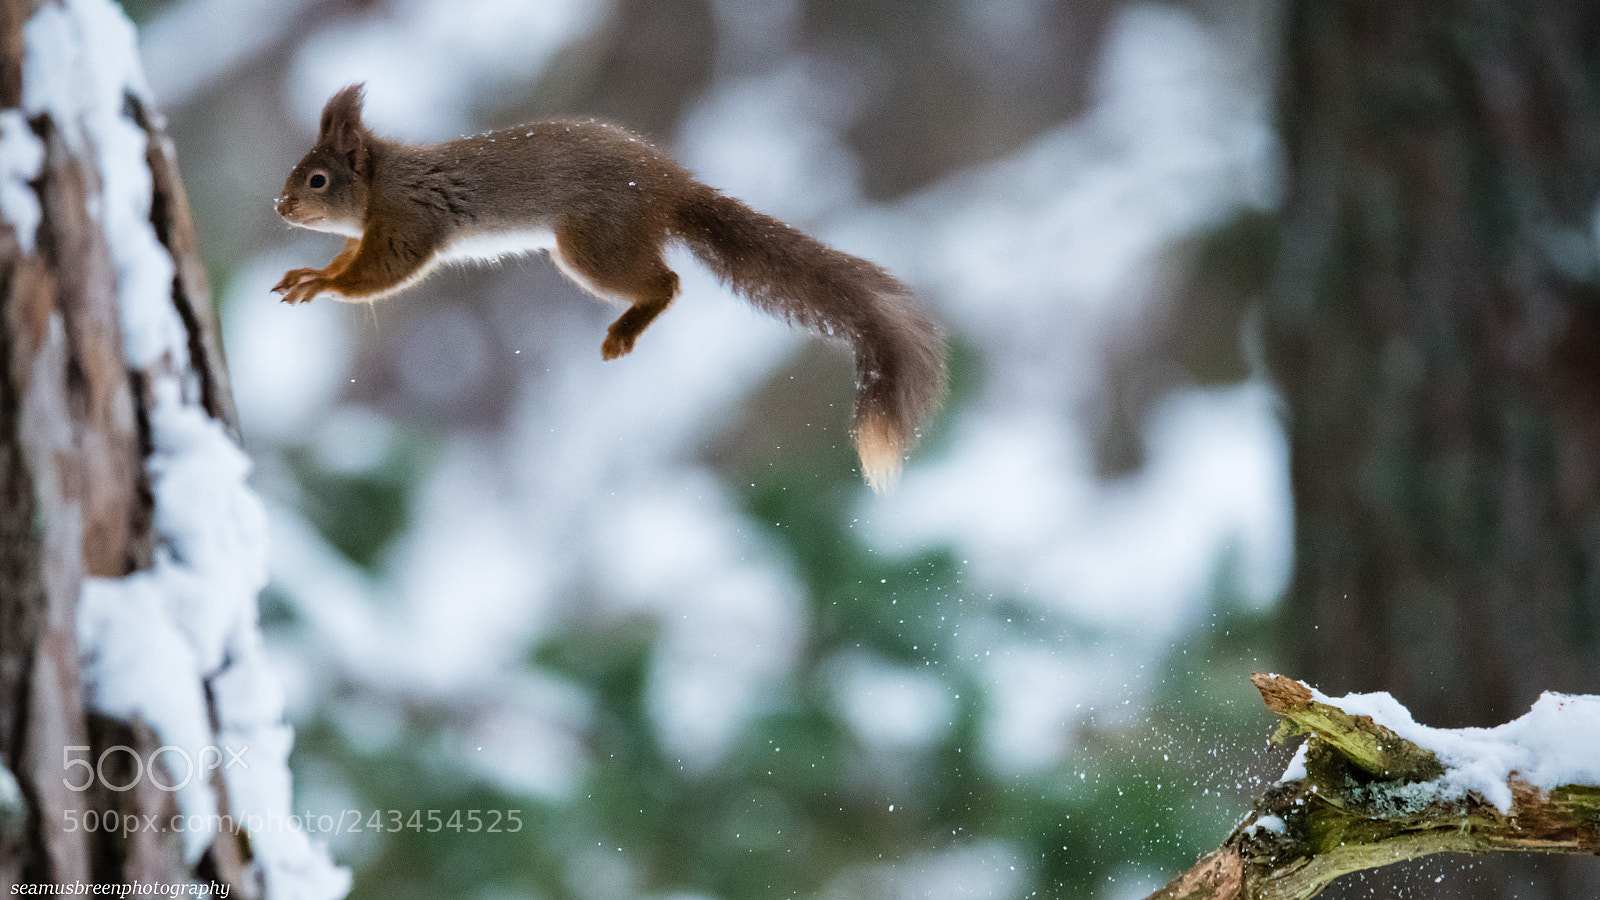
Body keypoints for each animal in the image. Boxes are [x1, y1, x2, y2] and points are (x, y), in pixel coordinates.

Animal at [273, 84, 945, 490]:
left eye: (316, 179)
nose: (280, 207)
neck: (382, 181)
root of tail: (669, 184)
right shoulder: (373, 232)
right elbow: (351, 260)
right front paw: (313, 273)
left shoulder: (408, 223)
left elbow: (380, 272)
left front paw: (319, 285)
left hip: (592, 244)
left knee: (668, 281)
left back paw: (627, 327)